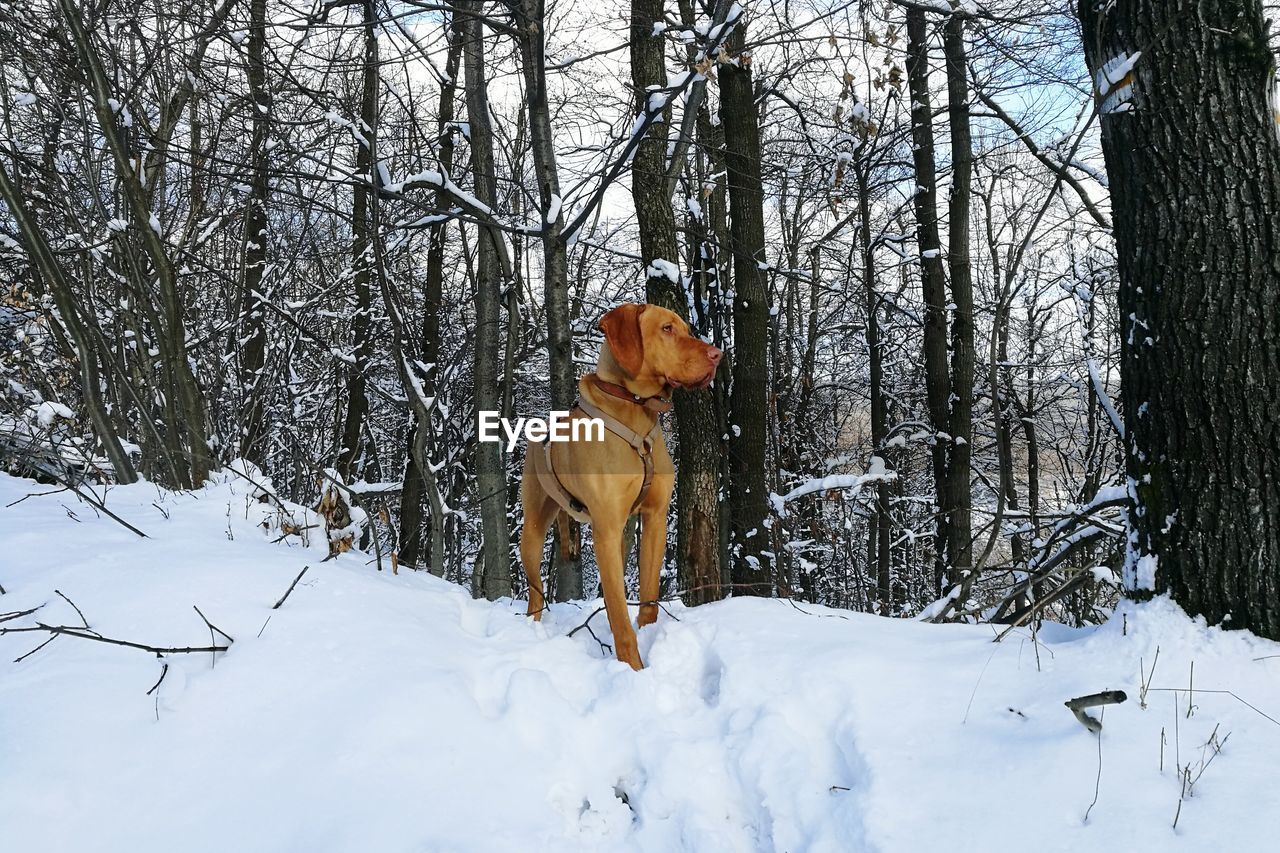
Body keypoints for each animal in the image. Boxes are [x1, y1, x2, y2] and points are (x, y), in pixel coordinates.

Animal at [517, 302, 721, 666]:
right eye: (667, 329)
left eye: (686, 329)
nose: (718, 355)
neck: (634, 408)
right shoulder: (606, 528)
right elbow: (620, 619)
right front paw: (633, 668)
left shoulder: (654, 519)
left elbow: (648, 599)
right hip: (534, 527)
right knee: (535, 591)